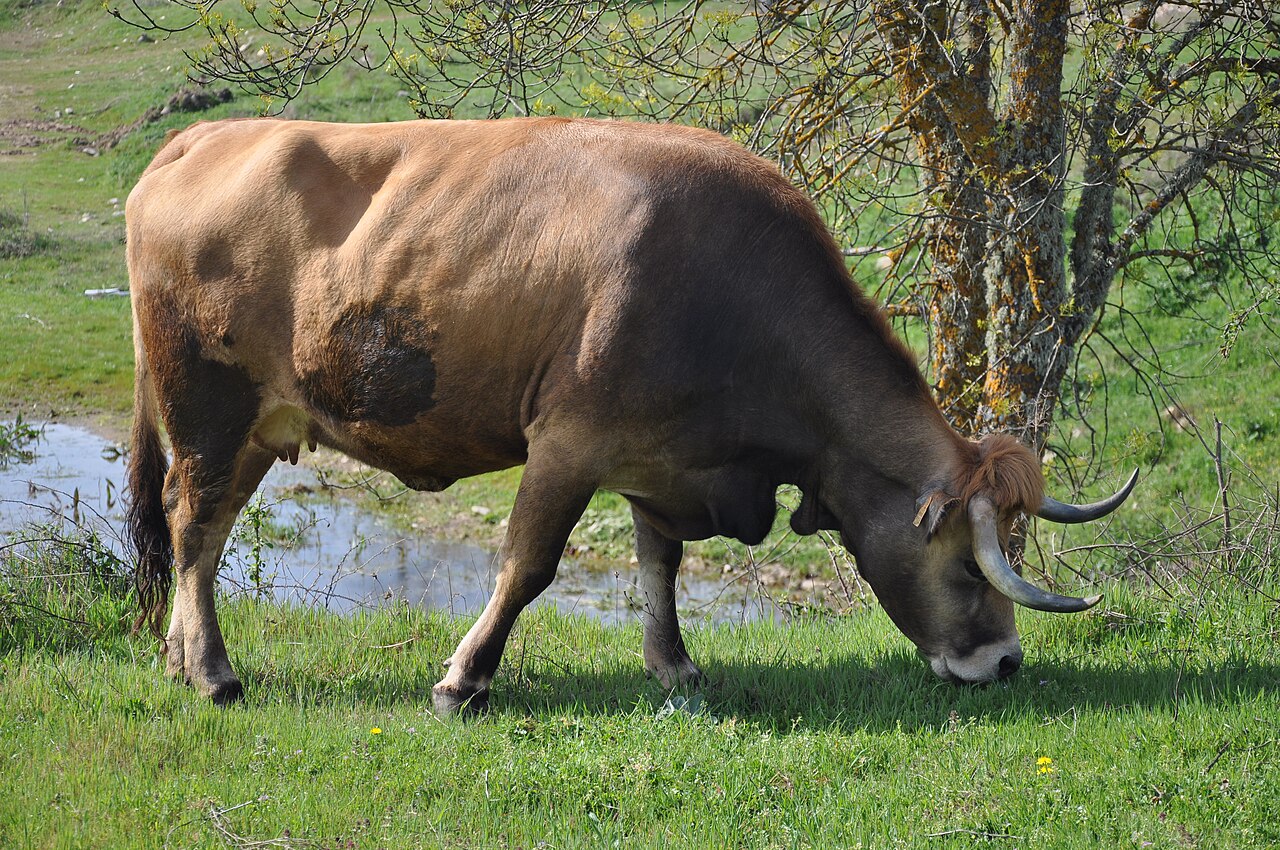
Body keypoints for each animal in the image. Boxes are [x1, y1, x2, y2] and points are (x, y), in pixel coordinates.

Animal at [124, 117, 1135, 714]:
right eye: (969, 566)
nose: (1004, 664)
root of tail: (201, 136)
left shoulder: (662, 459)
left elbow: (660, 566)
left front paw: (675, 667)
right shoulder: (567, 444)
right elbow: (527, 566)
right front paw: (464, 680)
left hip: (257, 426)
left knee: (200, 526)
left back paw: (180, 660)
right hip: (208, 407)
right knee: (193, 522)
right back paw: (213, 673)